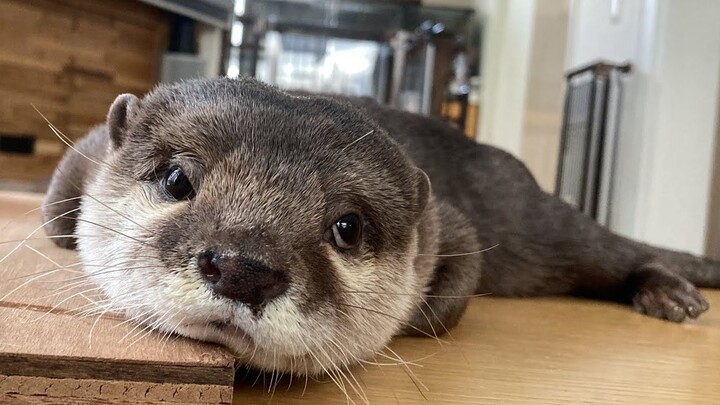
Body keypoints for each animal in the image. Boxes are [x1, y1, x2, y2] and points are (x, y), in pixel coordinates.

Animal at [41, 77, 719, 376]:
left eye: (347, 227)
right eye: (178, 179)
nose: (243, 268)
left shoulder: (447, 224)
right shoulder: (88, 151)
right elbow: (53, 219)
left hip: (542, 226)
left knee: (611, 251)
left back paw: (671, 293)